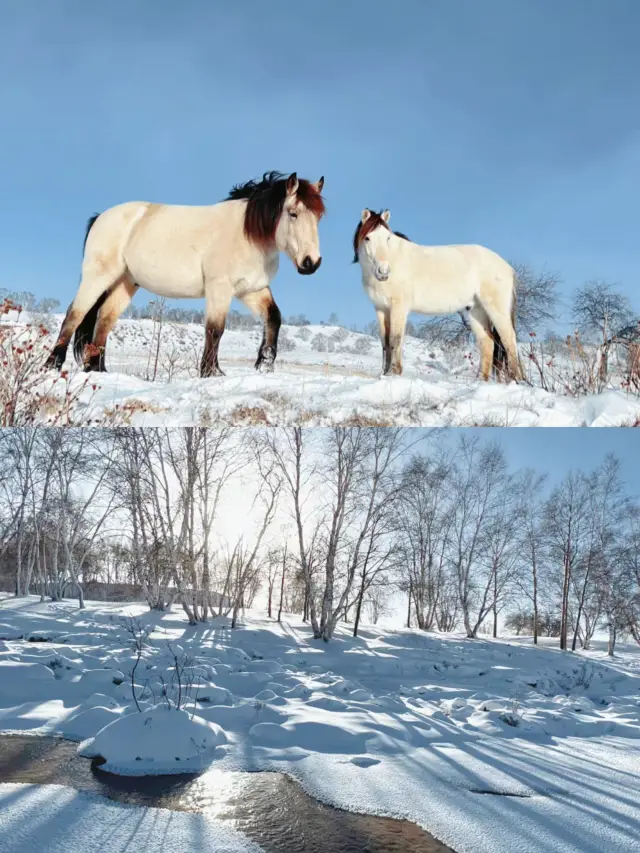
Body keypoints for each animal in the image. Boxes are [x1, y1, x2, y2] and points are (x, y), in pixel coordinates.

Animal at [45, 171, 324, 374]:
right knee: (75, 314)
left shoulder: (252, 290)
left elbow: (274, 318)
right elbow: (215, 330)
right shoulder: (219, 288)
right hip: (98, 277)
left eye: (319, 217)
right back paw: (52, 365)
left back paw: (98, 370)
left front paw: (264, 364)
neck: (247, 235)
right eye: (293, 213)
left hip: (125, 283)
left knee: (104, 320)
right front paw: (211, 372)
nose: (311, 263)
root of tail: (100, 217)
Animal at [352, 210, 524, 380]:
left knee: (509, 340)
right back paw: (480, 380)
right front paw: (384, 372)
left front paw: (394, 372)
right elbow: (385, 341)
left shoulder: (398, 307)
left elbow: (395, 338)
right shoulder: (381, 308)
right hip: (476, 311)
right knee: (487, 343)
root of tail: (508, 267)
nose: (383, 272)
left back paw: (515, 379)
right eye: (367, 238)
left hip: (497, 310)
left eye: (387, 238)